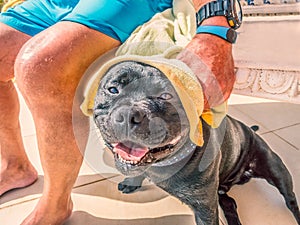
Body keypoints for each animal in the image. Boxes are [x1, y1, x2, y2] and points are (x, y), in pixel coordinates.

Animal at [93, 60, 300, 224]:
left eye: (166, 96)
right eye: (113, 90)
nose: (129, 114)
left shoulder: (204, 208)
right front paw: (132, 182)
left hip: (275, 169)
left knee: (290, 198)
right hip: (222, 194)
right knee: (230, 204)